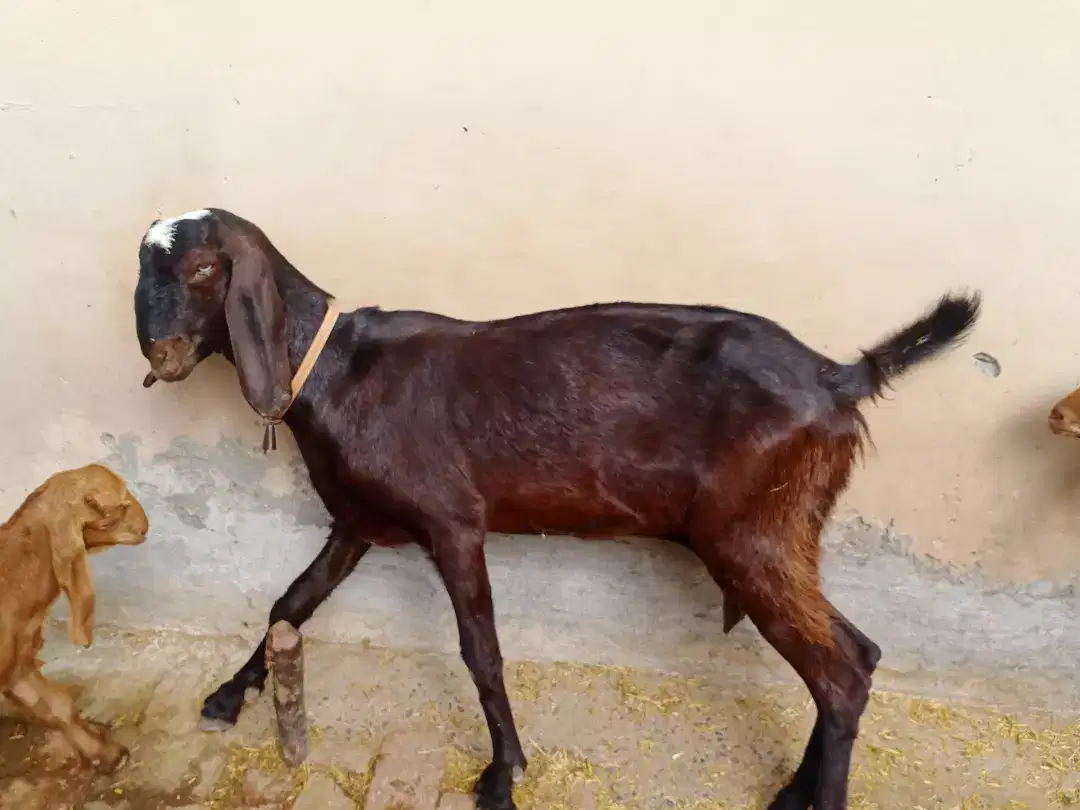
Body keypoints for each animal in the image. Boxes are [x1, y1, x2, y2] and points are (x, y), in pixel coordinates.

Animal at [133, 207, 980, 810]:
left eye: (205, 267)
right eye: (144, 267)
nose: (159, 354)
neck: (337, 370)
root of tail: (840, 378)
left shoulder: (453, 521)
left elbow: (481, 650)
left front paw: (502, 776)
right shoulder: (358, 522)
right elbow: (293, 602)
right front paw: (226, 694)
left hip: (755, 528)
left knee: (839, 671)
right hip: (781, 529)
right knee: (854, 653)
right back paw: (791, 791)